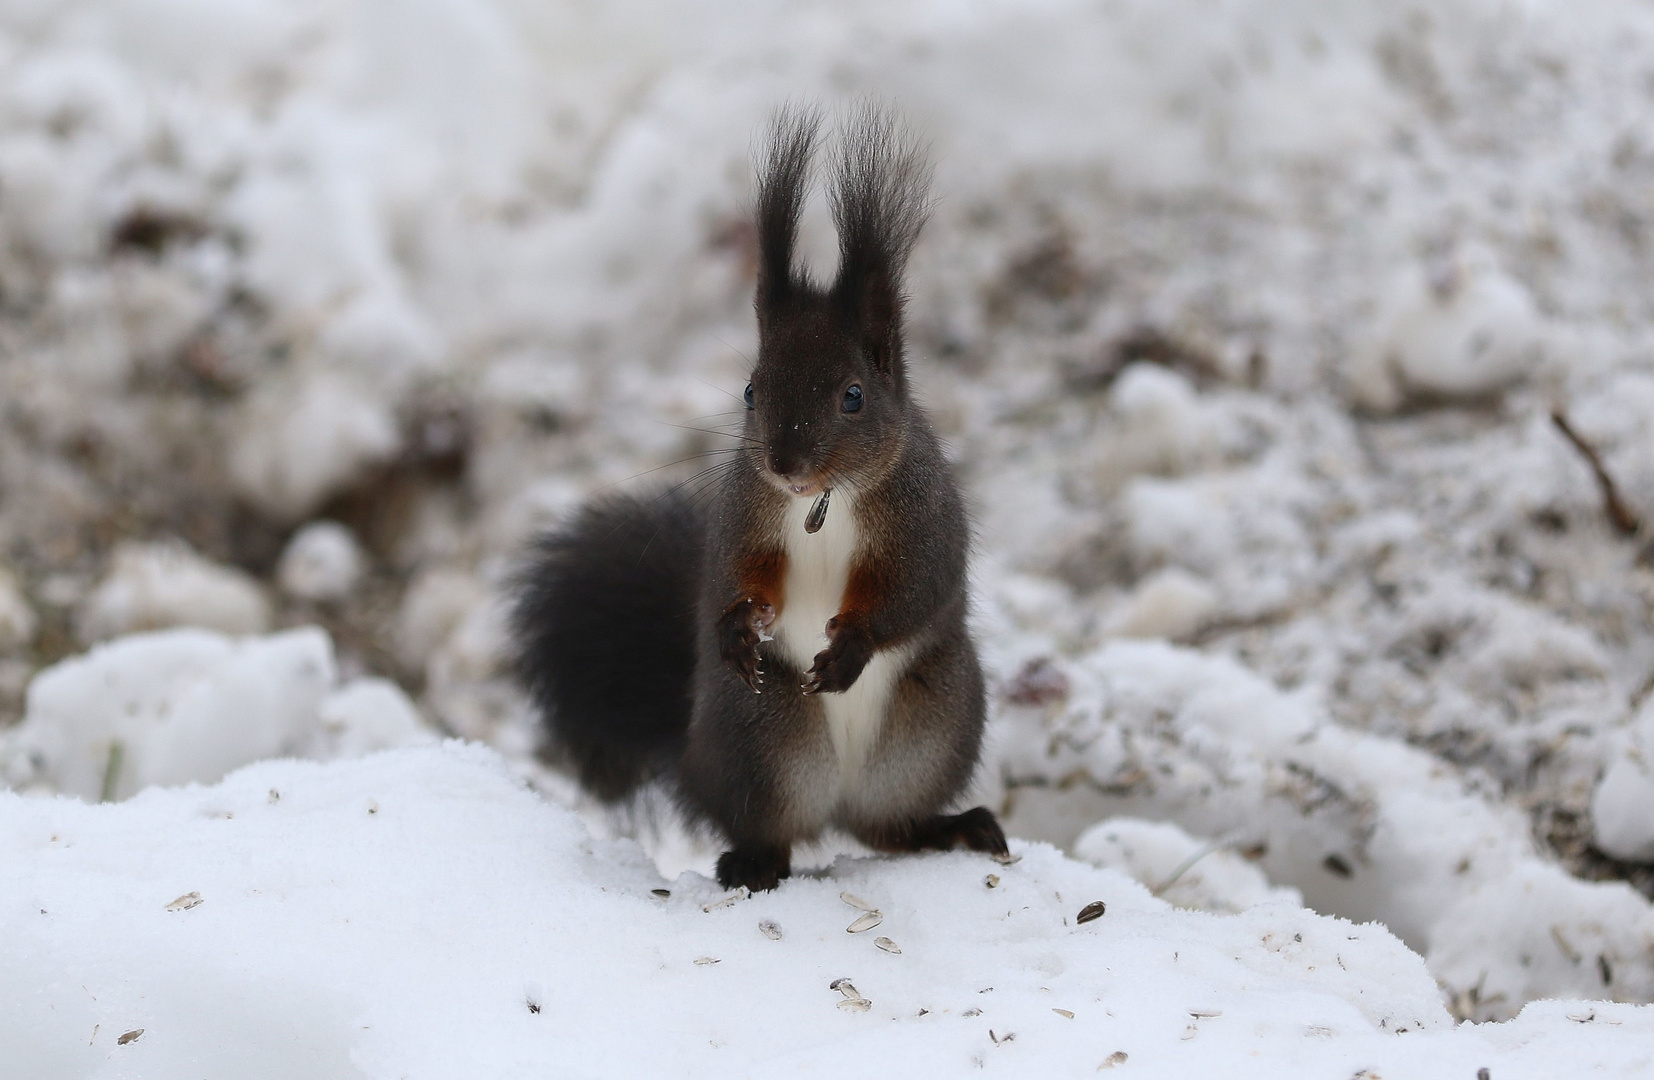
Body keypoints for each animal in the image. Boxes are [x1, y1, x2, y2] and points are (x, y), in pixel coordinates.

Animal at [506, 103, 1005, 893]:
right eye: (750, 390)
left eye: (854, 396)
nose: (784, 463)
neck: (822, 502)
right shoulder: (745, 515)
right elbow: (735, 577)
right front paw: (741, 626)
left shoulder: (924, 518)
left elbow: (913, 588)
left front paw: (851, 647)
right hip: (760, 739)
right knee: (775, 828)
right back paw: (752, 861)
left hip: (933, 727)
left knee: (889, 828)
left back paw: (950, 826)